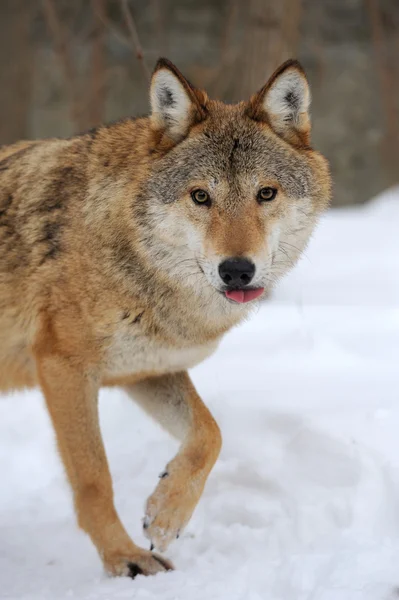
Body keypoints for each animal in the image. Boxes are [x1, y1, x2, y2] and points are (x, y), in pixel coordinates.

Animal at [0, 59, 332, 576]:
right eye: (200, 197)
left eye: (265, 193)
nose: (237, 270)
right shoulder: (64, 367)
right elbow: (94, 478)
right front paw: (124, 559)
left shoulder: (145, 369)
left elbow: (209, 434)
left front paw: (165, 513)